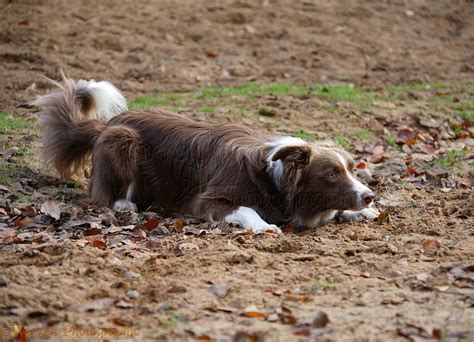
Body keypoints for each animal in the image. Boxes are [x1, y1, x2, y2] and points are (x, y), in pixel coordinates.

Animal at [32, 77, 382, 232]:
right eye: (331, 174)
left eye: (352, 169)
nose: (370, 196)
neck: (274, 180)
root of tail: (106, 124)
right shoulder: (205, 200)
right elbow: (245, 208)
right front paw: (265, 226)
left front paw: (366, 212)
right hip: (123, 140)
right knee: (102, 193)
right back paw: (124, 204)